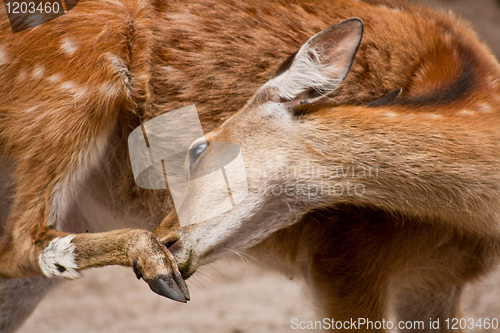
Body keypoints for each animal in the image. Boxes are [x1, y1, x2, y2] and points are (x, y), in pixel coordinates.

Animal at [0, 0, 498, 330]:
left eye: (197, 150)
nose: (168, 237)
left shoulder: (433, 283)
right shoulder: (343, 260)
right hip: (72, 85)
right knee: (19, 243)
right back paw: (156, 267)